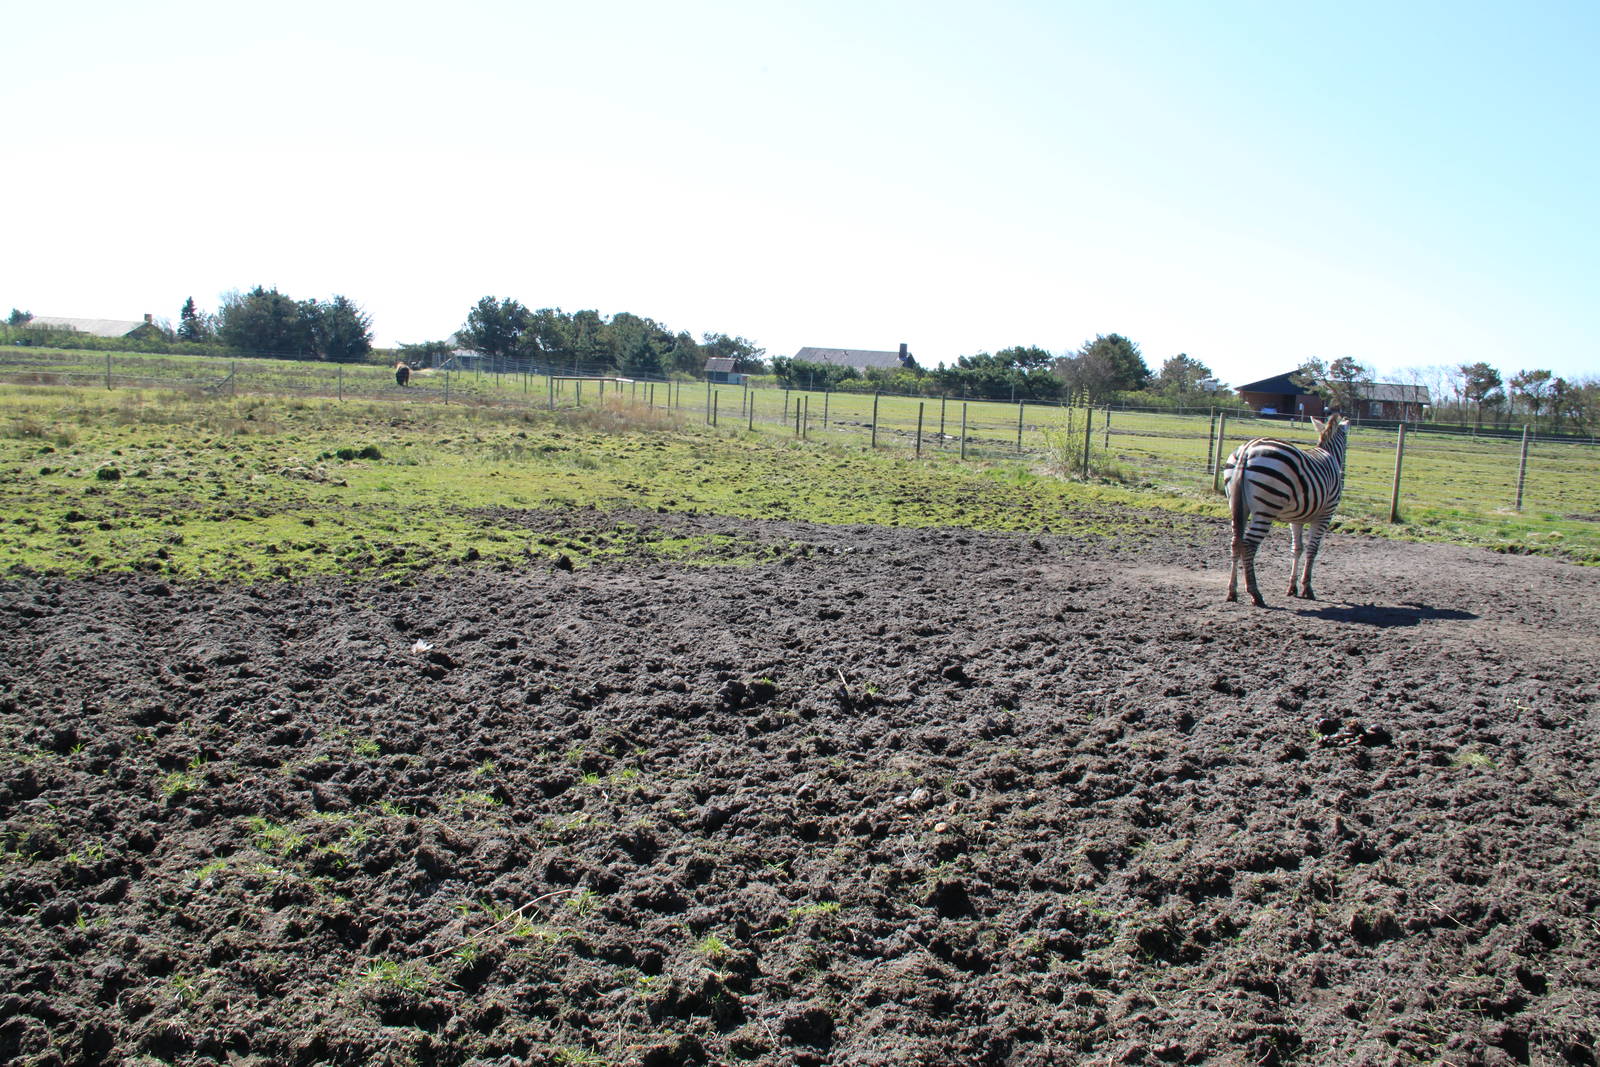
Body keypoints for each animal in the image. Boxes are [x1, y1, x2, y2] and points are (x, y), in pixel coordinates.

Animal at [1224, 413, 1348, 606]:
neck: (1328, 454)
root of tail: (1247, 450)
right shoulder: (1326, 514)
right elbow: (1312, 549)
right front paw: (1307, 588)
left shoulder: (1295, 519)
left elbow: (1297, 548)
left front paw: (1292, 588)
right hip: (1266, 508)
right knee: (1249, 545)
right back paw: (1255, 593)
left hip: (1238, 506)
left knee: (1235, 542)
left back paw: (1232, 591)